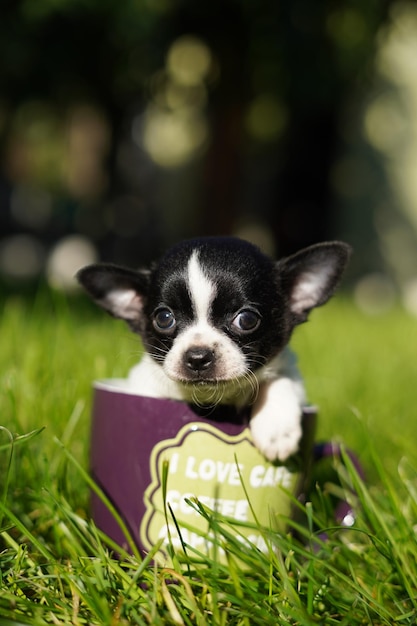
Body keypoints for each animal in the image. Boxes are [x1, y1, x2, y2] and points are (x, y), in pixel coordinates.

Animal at [76, 236, 350, 460]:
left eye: (246, 320)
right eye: (164, 318)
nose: (198, 357)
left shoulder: (289, 373)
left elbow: (279, 380)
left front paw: (276, 428)